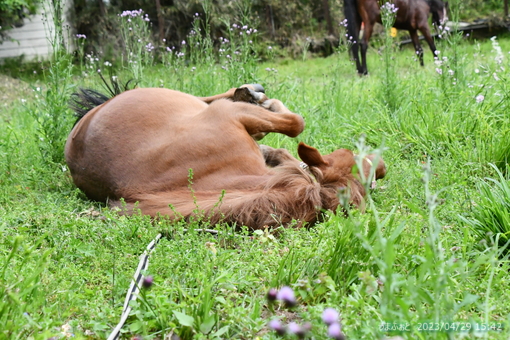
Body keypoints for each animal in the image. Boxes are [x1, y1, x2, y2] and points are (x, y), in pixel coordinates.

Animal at [67, 83, 386, 230]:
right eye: (353, 157)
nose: (383, 166)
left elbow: (286, 139)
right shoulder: (230, 115)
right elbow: (296, 122)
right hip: (188, 100)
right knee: (214, 98)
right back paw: (252, 93)